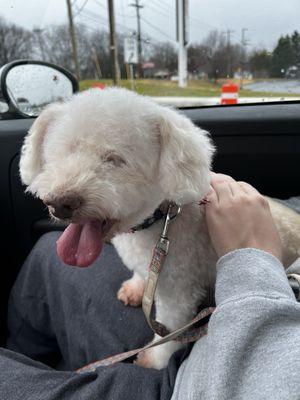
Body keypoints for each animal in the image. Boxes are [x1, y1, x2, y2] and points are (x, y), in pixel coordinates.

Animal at [19, 88, 300, 368]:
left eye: (115, 159)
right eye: (64, 152)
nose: (60, 203)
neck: (161, 218)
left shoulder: (178, 291)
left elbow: (169, 331)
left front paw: (153, 360)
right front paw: (137, 286)